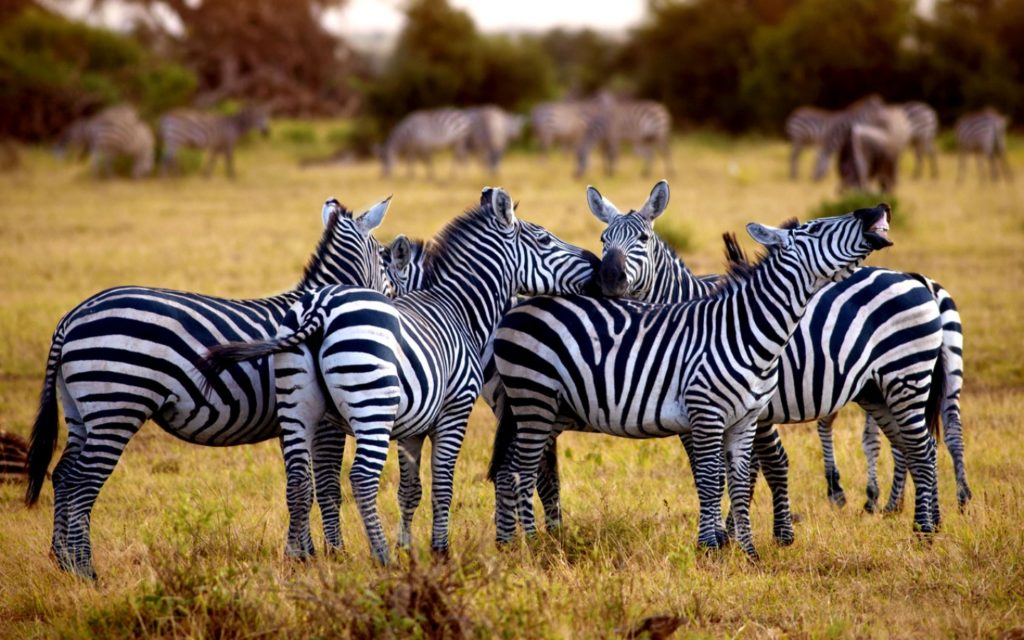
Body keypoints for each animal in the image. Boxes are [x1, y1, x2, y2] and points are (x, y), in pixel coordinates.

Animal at [24, 196, 397, 579]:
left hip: (81, 409)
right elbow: (325, 485)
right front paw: (333, 554)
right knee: (82, 481)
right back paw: (86, 569)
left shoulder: (293, 422)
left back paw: (63, 561)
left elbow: (300, 480)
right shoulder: (321, 422)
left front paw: (306, 551)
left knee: (64, 475)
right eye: (385, 257)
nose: (395, 298)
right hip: (116, 405)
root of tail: (72, 317)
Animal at [197, 187, 600, 564]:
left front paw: (409, 550)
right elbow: (443, 484)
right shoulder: (455, 411)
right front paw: (439, 551)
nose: (596, 264)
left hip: (297, 406)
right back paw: (381, 557)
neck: (459, 308)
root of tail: (319, 309)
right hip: (371, 405)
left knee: (298, 479)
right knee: (361, 478)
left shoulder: (412, 427)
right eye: (545, 239)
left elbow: (410, 490)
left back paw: (301, 560)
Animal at [492, 182, 950, 547]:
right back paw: (921, 519)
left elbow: (754, 469)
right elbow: (720, 472)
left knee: (922, 448)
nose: (608, 281)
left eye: (643, 237)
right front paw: (735, 535)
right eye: (604, 238)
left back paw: (926, 528)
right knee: (915, 448)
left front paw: (756, 535)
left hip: (905, 376)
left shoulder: (754, 411)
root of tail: (915, 277)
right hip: (880, 390)